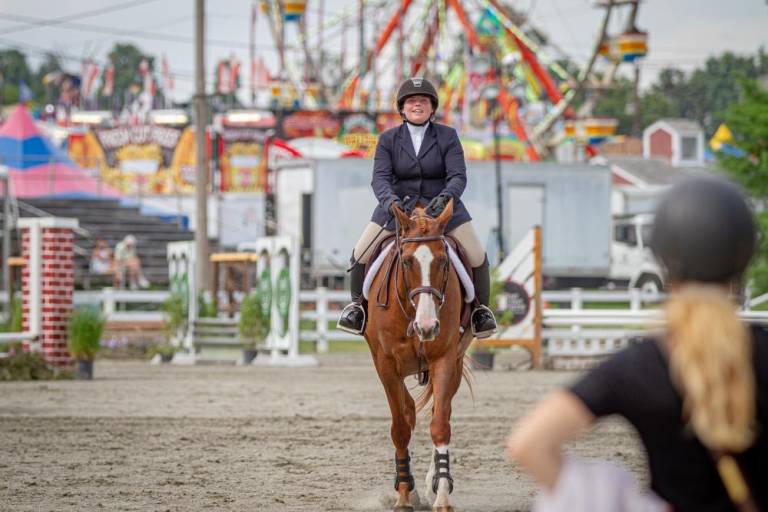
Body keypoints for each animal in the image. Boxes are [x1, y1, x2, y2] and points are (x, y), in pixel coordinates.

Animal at [362, 200, 474, 512]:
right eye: (407, 262)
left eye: (444, 262)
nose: (427, 327)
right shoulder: (386, 365)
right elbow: (400, 427)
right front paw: (403, 495)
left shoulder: (445, 360)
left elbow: (440, 425)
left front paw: (442, 493)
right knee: (409, 411)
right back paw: (410, 488)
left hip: (455, 363)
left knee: (438, 410)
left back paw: (431, 483)